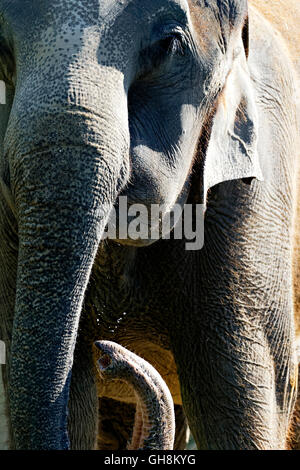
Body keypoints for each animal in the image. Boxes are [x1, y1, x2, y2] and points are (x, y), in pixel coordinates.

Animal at [0, 0, 298, 450]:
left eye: (169, 44)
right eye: (1, 50)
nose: (109, 353)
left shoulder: (257, 196)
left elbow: (238, 409)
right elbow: (72, 401)